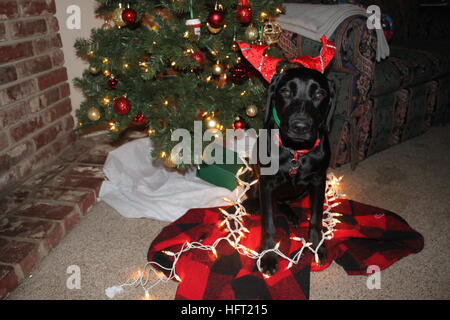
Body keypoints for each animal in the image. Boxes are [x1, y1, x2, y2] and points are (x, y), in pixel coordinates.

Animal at [244, 67, 336, 276]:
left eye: (319, 94)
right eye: (285, 92)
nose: (300, 127)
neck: (295, 152)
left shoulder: (319, 180)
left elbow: (316, 218)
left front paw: (316, 246)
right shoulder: (267, 183)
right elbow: (269, 223)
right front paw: (268, 256)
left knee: (283, 202)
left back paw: (291, 214)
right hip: (255, 176)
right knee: (253, 194)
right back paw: (252, 205)